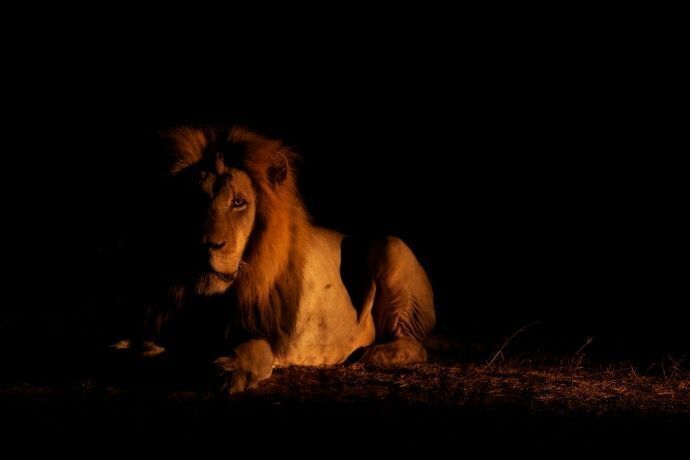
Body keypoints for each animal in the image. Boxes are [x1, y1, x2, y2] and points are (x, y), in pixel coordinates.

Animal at [115, 125, 432, 392]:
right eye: (195, 200)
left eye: (238, 202)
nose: (208, 245)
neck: (209, 299)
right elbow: (139, 344)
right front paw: (141, 349)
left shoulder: (267, 328)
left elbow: (254, 347)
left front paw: (231, 371)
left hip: (390, 245)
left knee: (417, 346)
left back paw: (372, 353)